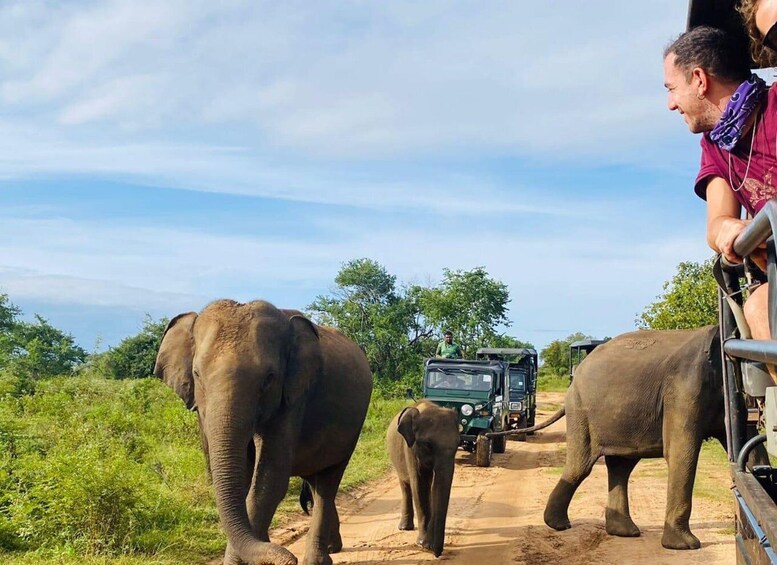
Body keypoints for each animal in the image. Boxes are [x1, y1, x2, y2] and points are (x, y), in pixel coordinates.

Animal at [155, 300, 372, 564]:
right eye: (197, 374)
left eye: (269, 378)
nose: (290, 558)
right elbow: (243, 479)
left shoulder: (293, 398)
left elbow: (269, 481)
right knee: (314, 482)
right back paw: (332, 547)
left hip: (352, 428)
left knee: (327, 483)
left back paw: (318, 558)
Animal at [384, 396, 458, 556]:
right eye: (428, 445)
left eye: (458, 444)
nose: (437, 552)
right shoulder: (410, 449)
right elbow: (419, 485)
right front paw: (424, 544)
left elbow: (434, 486)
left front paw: (427, 543)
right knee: (405, 486)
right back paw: (405, 528)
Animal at [544, 324, 724, 548]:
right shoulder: (685, 388)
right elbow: (680, 452)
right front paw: (685, 546)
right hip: (580, 411)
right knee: (581, 467)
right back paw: (559, 525)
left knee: (621, 466)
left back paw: (623, 532)